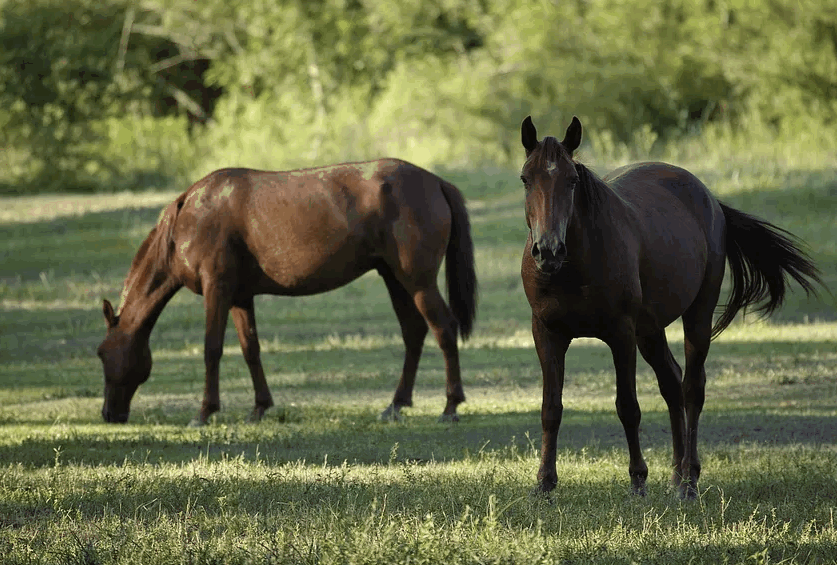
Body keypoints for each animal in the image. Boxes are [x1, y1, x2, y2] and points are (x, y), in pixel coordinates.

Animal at [96, 158, 476, 424]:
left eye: (101, 353)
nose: (109, 415)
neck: (189, 219)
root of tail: (436, 182)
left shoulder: (217, 290)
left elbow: (211, 349)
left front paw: (204, 412)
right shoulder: (240, 297)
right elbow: (250, 349)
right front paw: (259, 408)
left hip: (418, 281)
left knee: (444, 329)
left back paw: (450, 406)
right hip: (395, 279)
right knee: (413, 333)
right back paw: (395, 405)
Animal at [520, 115, 820, 498]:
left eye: (572, 180)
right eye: (526, 178)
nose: (549, 250)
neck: (575, 266)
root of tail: (709, 199)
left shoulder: (621, 333)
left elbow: (628, 407)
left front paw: (637, 480)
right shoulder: (547, 333)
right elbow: (551, 408)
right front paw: (544, 483)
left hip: (696, 317)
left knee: (692, 388)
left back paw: (689, 480)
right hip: (649, 332)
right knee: (672, 383)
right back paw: (677, 474)